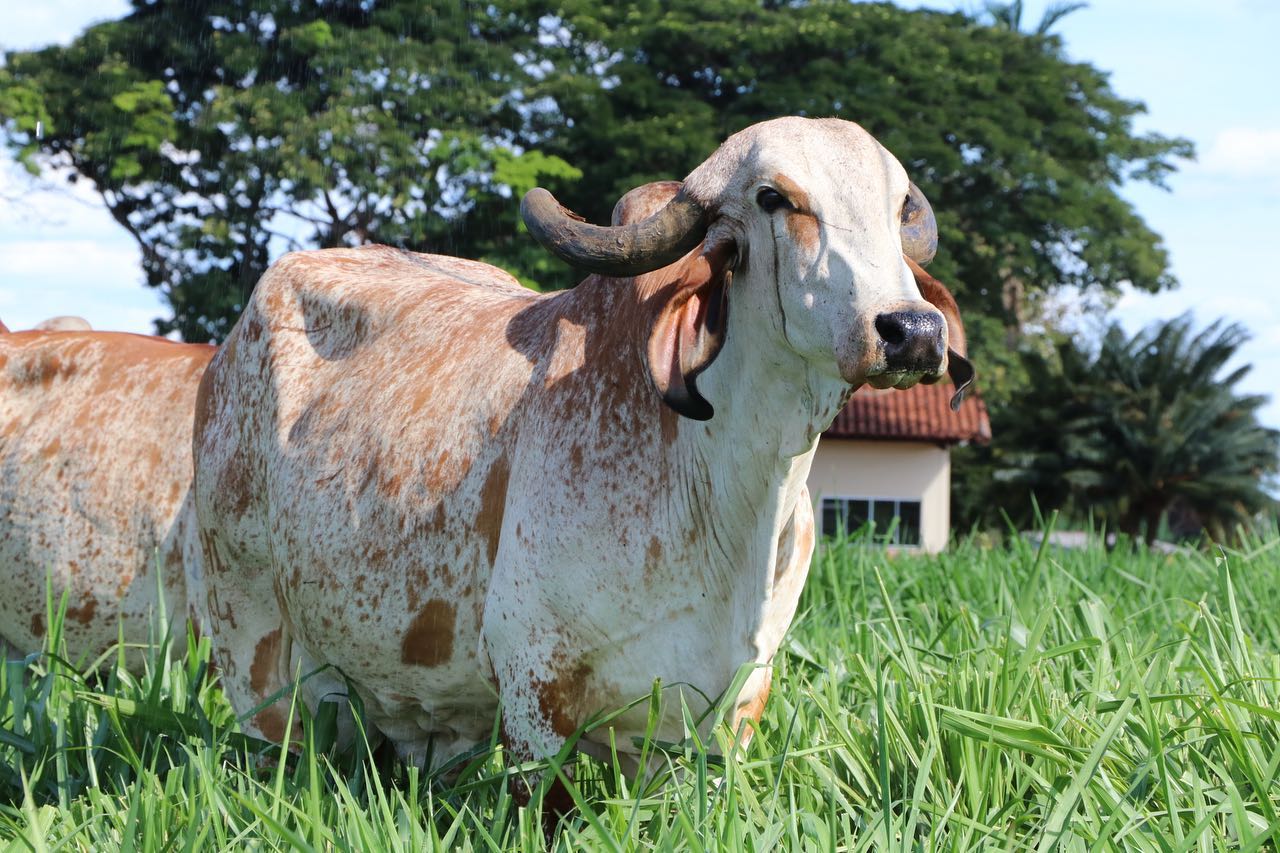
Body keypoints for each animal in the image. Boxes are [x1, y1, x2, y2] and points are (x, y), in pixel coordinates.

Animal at [189, 116, 967, 778]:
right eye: (773, 197)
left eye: (897, 206)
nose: (912, 330)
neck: (729, 495)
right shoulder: (535, 695)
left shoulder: (727, 710)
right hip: (253, 652)